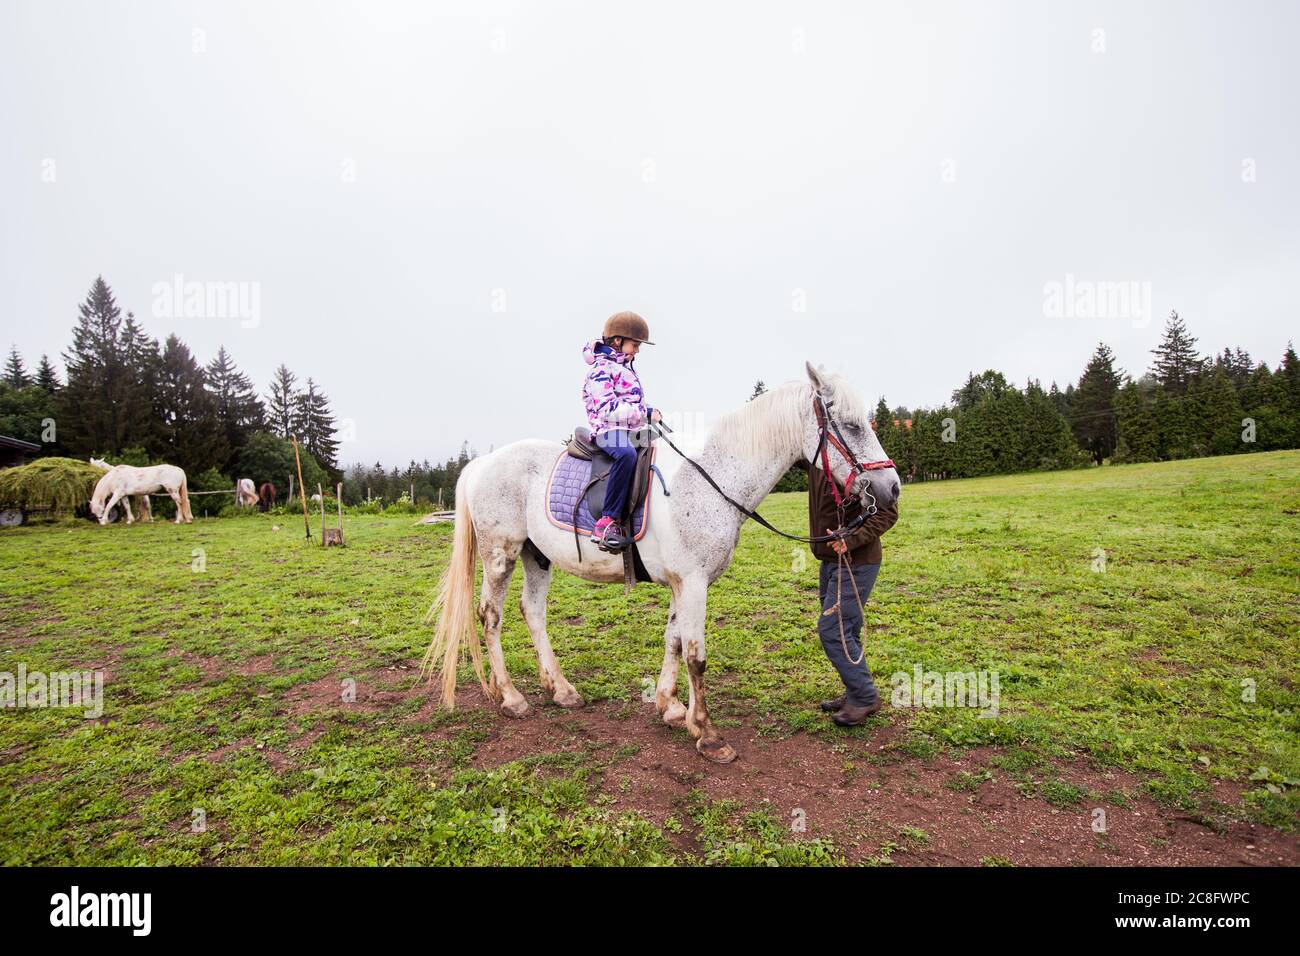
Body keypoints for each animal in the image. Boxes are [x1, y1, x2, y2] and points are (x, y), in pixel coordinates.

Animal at [421, 361, 899, 764]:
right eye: (851, 425)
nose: (892, 487)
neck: (711, 478)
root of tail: (483, 463)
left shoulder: (681, 582)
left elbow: (673, 642)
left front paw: (670, 707)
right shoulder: (694, 582)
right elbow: (696, 655)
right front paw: (708, 734)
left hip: (536, 556)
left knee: (533, 613)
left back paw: (560, 689)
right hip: (500, 554)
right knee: (491, 616)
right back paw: (511, 696)